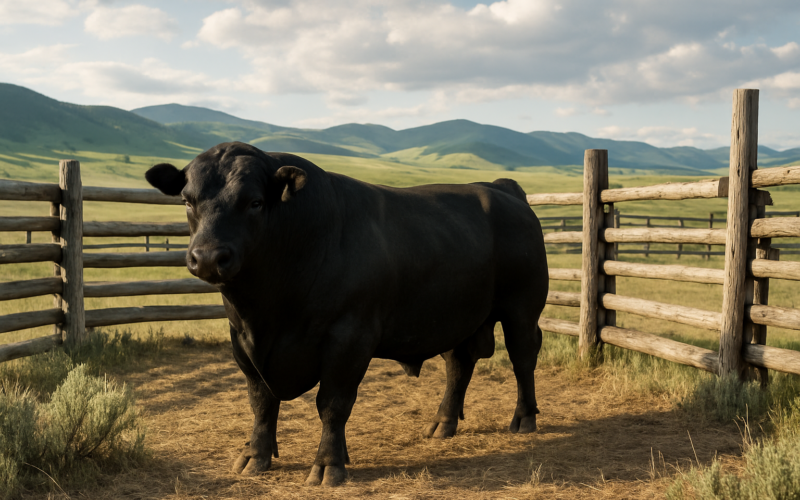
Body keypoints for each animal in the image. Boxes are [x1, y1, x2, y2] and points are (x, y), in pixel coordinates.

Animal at [145, 142, 548, 487]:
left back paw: (524, 418)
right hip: (456, 317)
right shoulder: (242, 339)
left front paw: (328, 464)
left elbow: (333, 404)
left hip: (522, 308)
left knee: (523, 358)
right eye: (187, 201)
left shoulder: (349, 337)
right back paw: (442, 422)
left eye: (256, 202)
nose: (208, 257)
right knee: (458, 365)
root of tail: (500, 188)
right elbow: (261, 401)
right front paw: (255, 455)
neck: (268, 310)